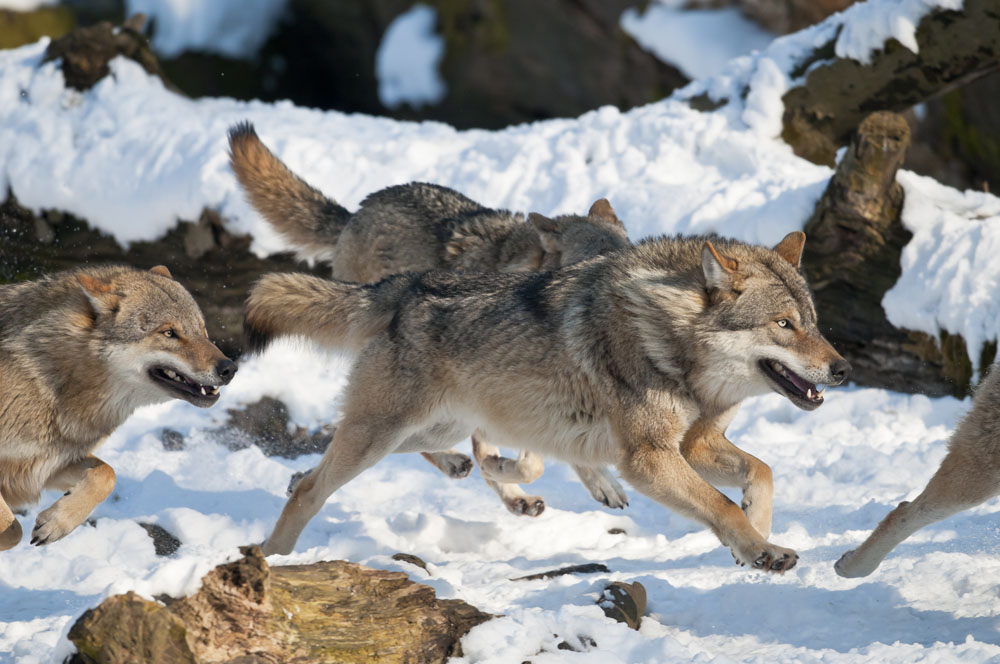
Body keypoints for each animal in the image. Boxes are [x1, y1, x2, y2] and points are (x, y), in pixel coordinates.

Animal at [0, 264, 236, 548]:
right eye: (169, 333)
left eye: (202, 330)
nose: (229, 368)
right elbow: (12, 531)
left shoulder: (48, 465)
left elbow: (108, 475)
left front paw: (57, 523)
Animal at [246, 230, 848, 572]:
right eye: (784, 325)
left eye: (814, 323)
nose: (842, 369)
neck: (673, 344)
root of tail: (405, 285)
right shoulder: (648, 458)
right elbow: (719, 504)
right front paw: (763, 549)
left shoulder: (695, 445)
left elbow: (762, 473)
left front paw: (757, 538)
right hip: (382, 434)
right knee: (312, 486)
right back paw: (271, 557)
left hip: (431, 426)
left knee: (419, 455)